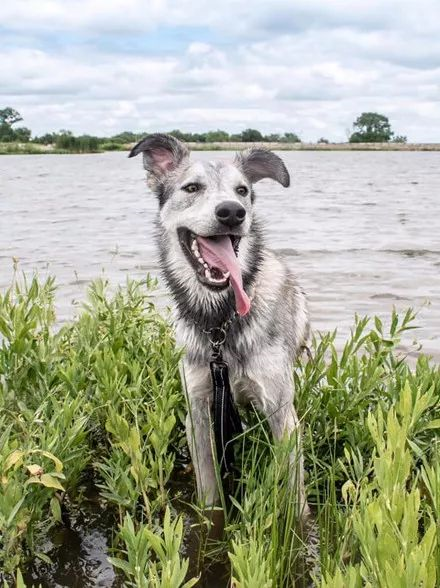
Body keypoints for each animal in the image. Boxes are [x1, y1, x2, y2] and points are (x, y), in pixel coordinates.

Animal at [129, 132, 312, 516]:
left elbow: (295, 500)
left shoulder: (283, 415)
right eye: (191, 187)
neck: (220, 323)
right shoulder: (198, 412)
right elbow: (210, 492)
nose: (232, 212)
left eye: (242, 190)